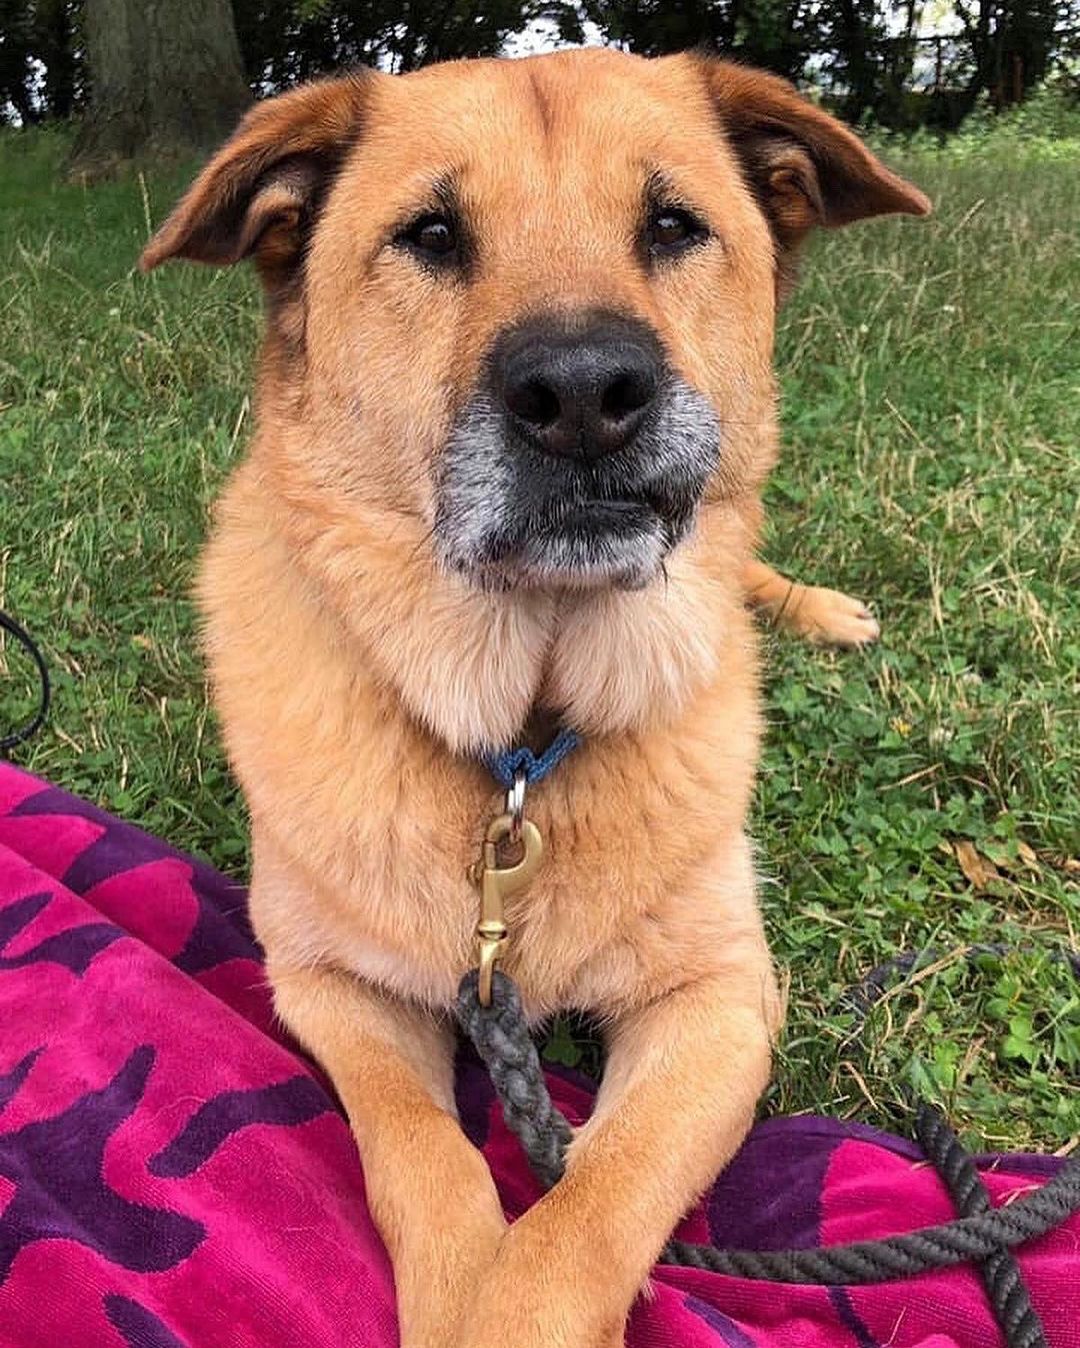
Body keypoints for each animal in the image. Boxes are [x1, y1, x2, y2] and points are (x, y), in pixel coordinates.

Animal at [138, 47, 922, 1342]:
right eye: (431, 234)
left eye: (672, 224)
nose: (585, 391)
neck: (521, 736)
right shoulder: (327, 983)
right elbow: (426, 1155)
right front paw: (458, 1280)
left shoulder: (723, 996)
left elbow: (594, 1197)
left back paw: (823, 607)